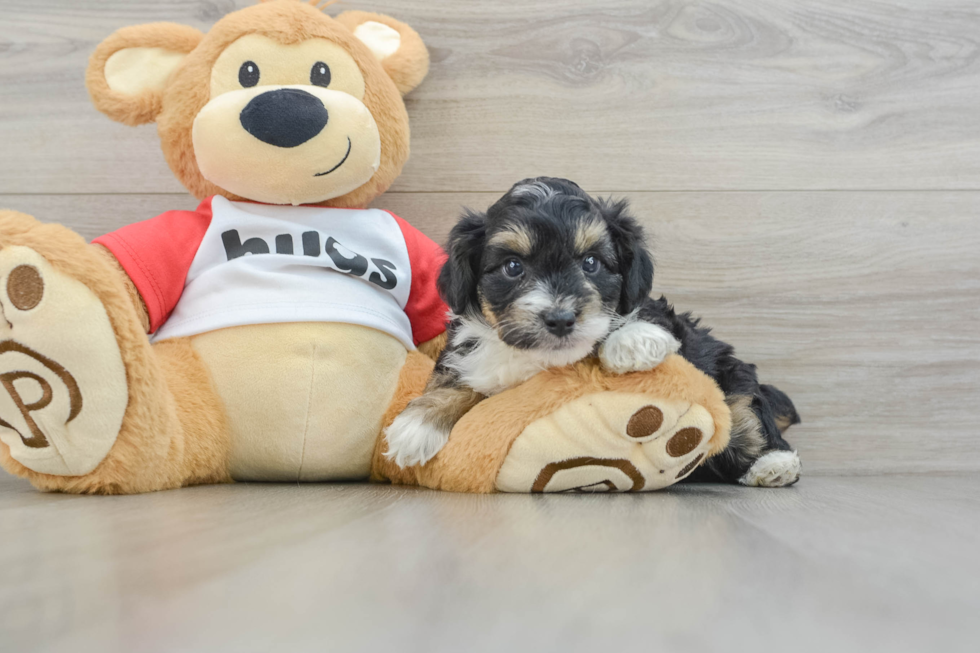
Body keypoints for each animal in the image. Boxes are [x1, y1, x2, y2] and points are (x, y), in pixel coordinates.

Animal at [384, 176, 804, 486]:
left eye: (591, 263)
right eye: (513, 267)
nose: (560, 318)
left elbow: (642, 315)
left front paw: (632, 341)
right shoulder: (467, 351)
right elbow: (458, 379)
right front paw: (416, 425)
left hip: (733, 379)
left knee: (748, 417)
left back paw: (774, 465)